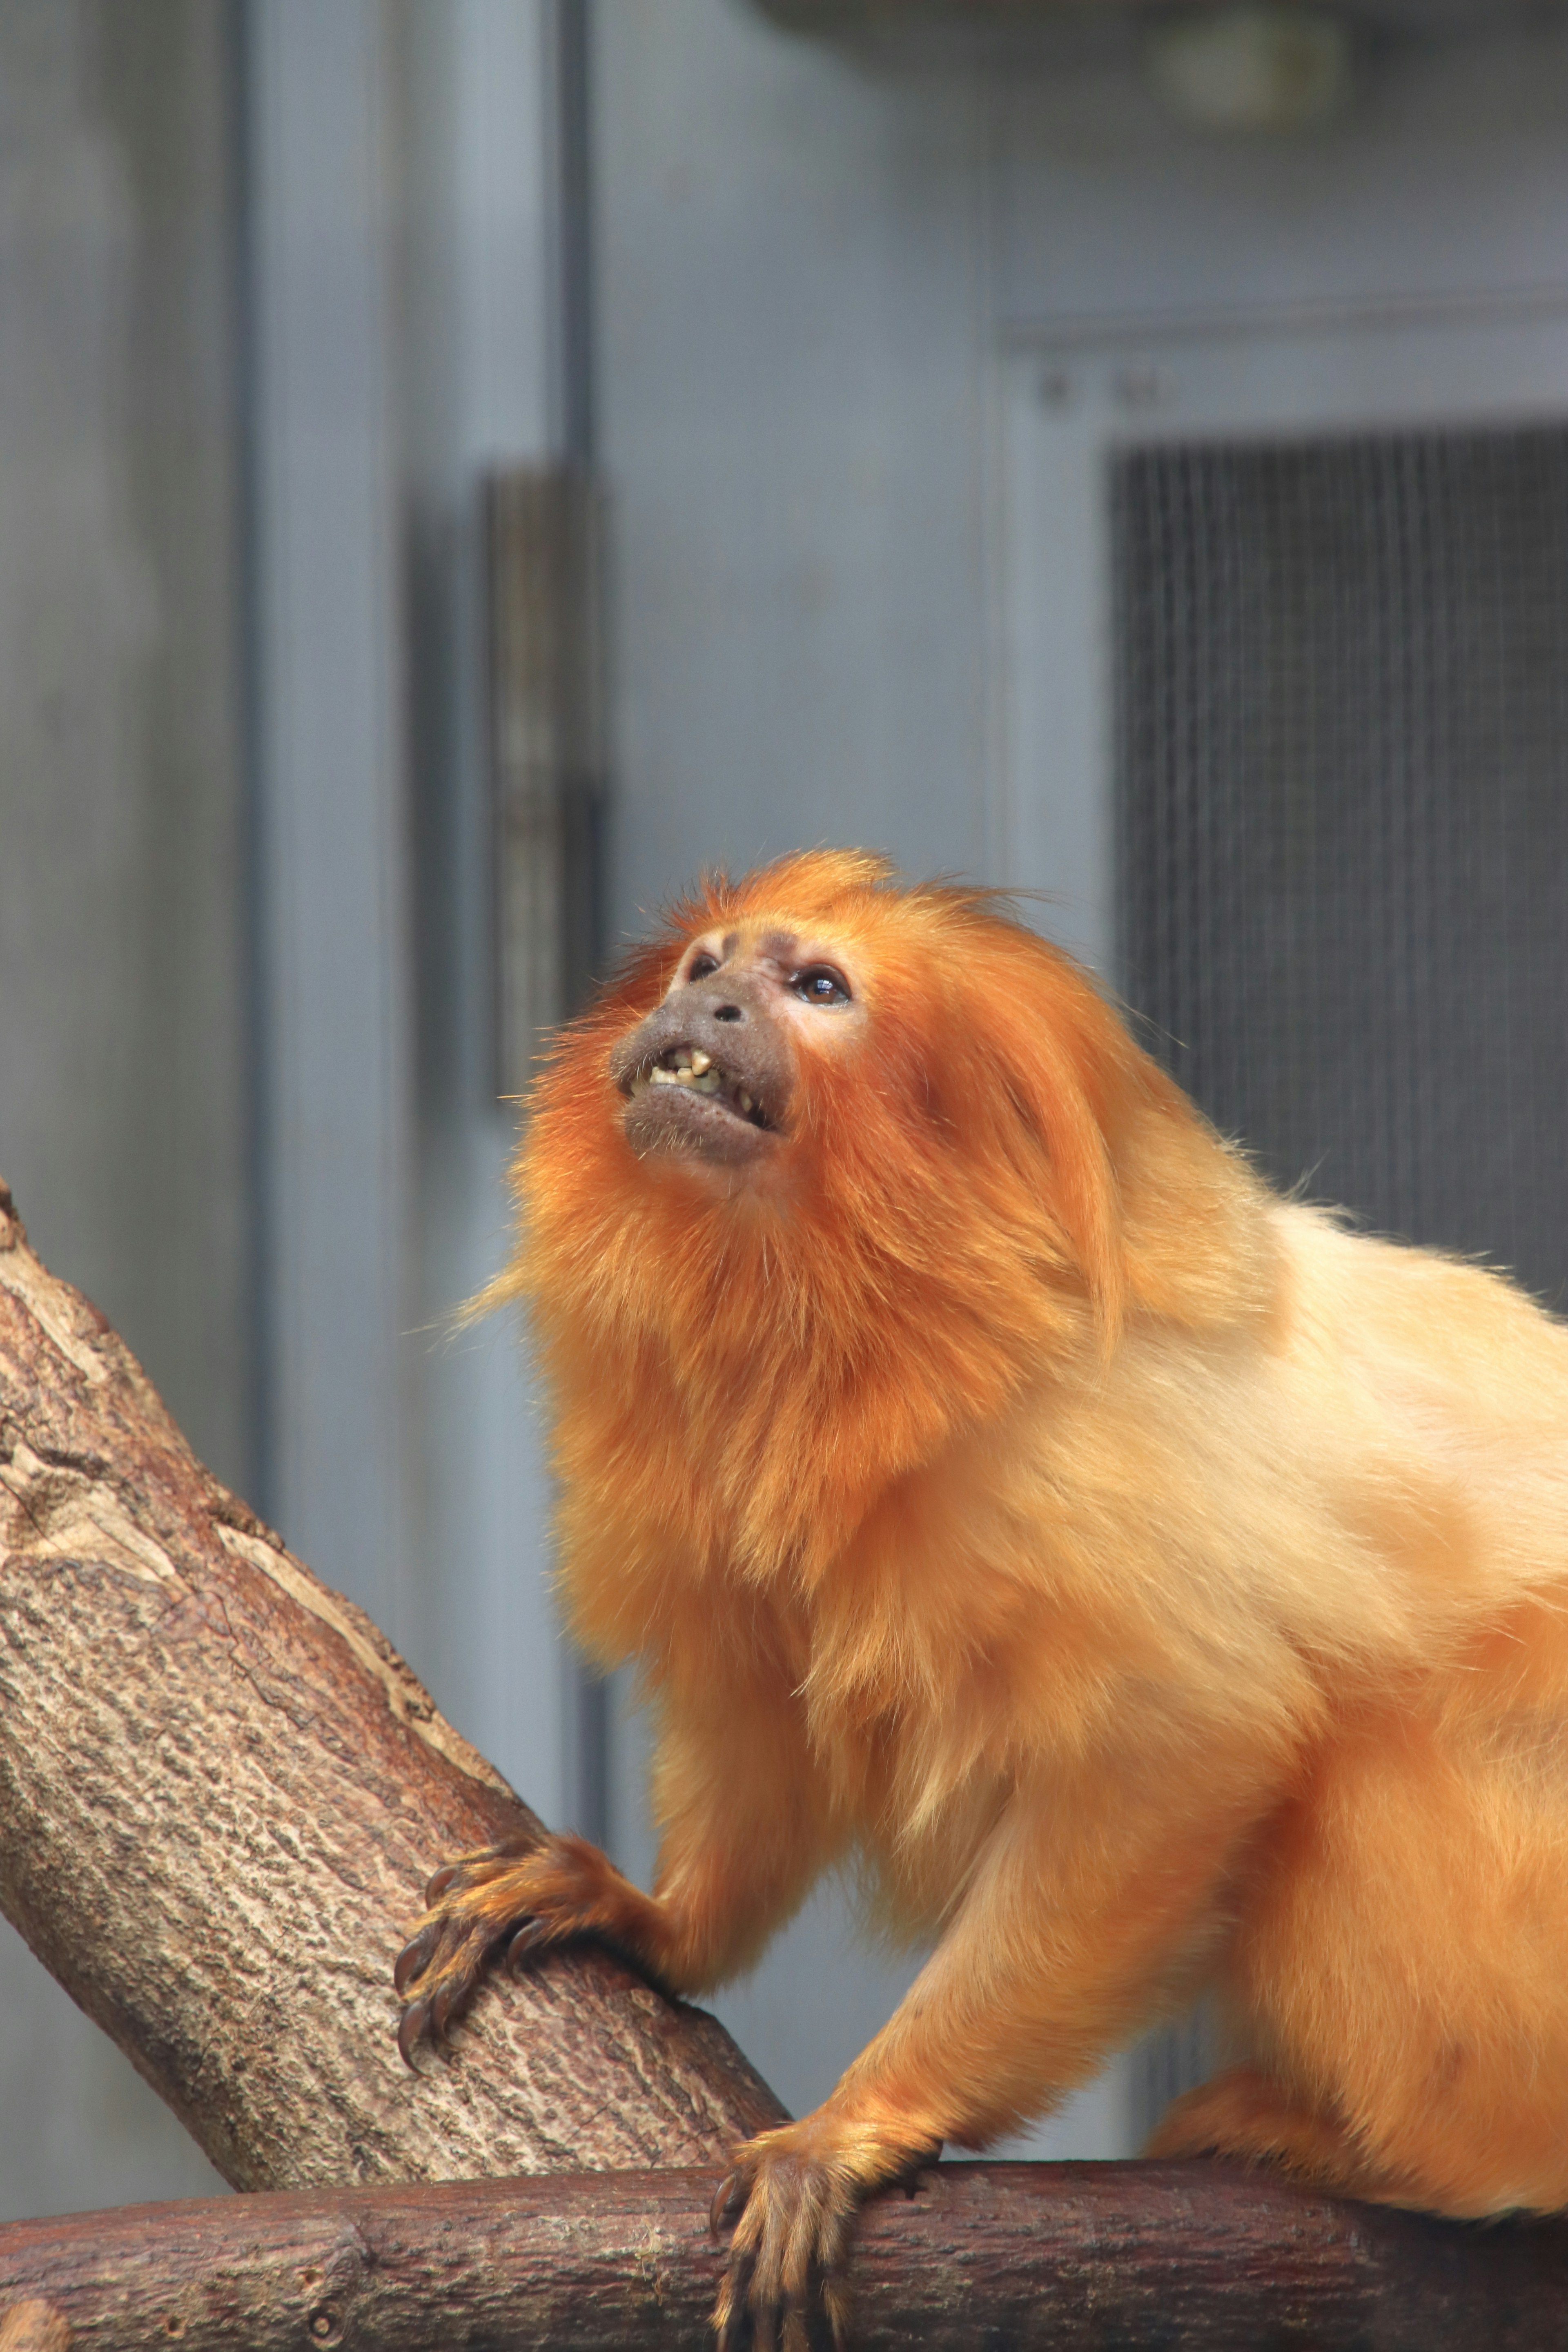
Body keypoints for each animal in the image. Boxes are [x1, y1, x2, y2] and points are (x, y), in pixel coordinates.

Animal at [399, 856, 1568, 2342]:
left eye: (815, 987)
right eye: (704, 967)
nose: (709, 1006)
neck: (856, 1332)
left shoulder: (1085, 1486)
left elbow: (1183, 1751)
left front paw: (859, 2122)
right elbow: (758, 1723)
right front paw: (654, 1916)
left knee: (1370, 1765)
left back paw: (1407, 2156)